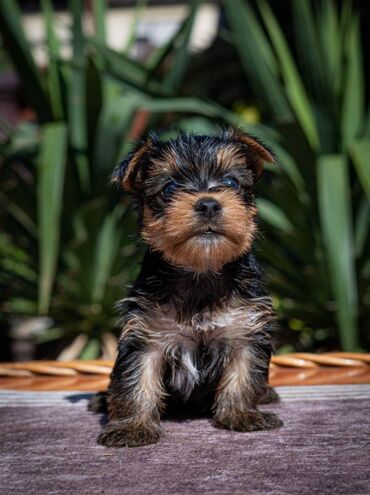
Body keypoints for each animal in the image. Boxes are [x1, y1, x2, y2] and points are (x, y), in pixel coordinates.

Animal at [90, 129, 284, 450]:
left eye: (231, 182)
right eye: (169, 188)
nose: (208, 204)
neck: (200, 270)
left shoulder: (245, 330)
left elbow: (243, 375)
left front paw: (241, 415)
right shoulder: (146, 335)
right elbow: (136, 380)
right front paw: (132, 427)